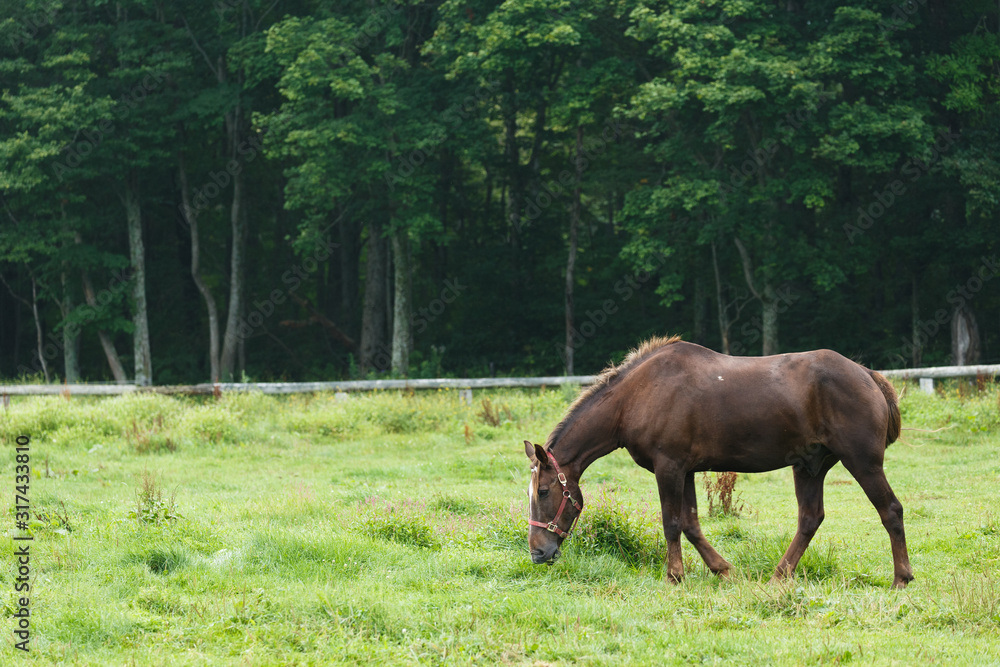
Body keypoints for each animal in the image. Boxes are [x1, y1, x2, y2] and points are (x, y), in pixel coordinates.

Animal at [524, 340, 916, 588]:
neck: (636, 396)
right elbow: (692, 524)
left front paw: (674, 576)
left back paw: (901, 578)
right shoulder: (686, 471)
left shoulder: (669, 468)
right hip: (809, 466)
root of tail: (868, 375)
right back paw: (779, 576)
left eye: (543, 490)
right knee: (810, 518)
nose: (538, 553)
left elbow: (672, 523)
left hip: (862, 462)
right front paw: (722, 569)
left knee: (890, 509)